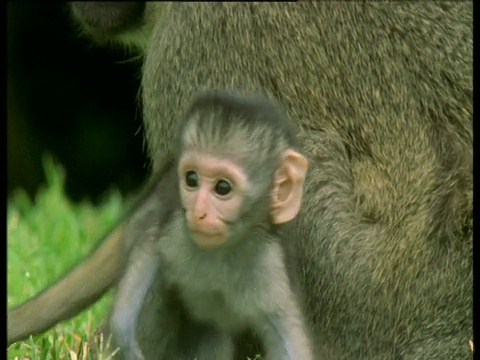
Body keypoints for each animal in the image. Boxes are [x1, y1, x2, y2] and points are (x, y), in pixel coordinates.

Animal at [112, 90, 314, 360]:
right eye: (191, 179)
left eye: (223, 187)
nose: (198, 212)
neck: (222, 252)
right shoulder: (176, 230)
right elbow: (148, 250)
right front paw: (122, 333)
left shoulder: (272, 270)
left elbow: (287, 341)